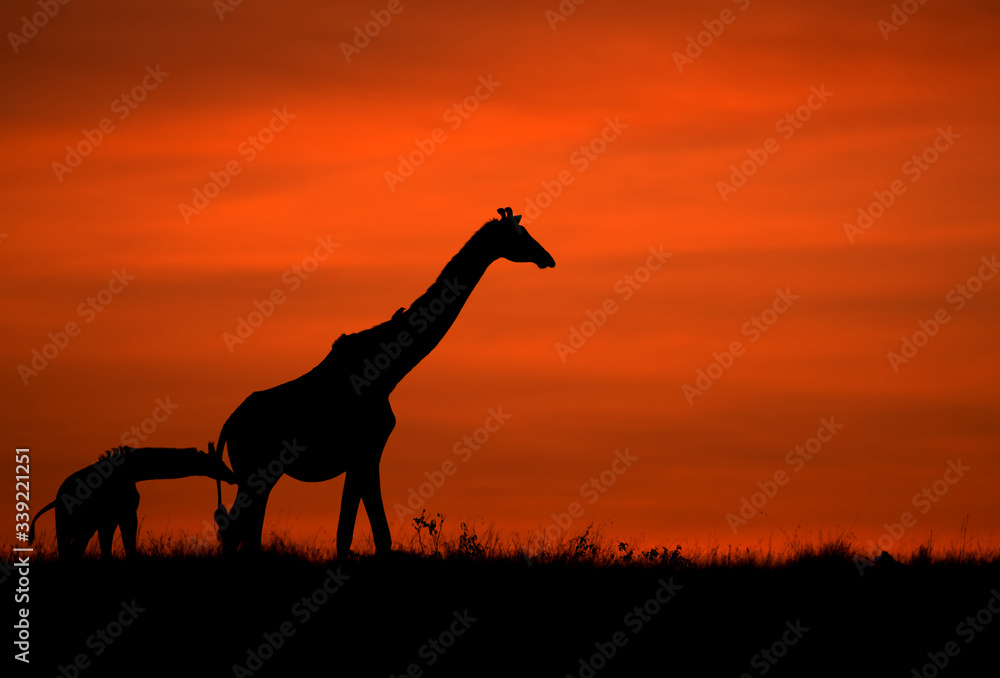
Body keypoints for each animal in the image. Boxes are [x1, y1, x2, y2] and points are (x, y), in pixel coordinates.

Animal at [30, 444, 236, 559]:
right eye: (218, 462)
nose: (232, 476)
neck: (133, 472)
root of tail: (56, 499)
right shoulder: (125, 515)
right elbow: (128, 547)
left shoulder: (111, 519)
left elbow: (110, 549)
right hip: (70, 526)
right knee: (68, 552)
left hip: (79, 527)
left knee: (73, 551)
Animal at [215, 207, 555, 556]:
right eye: (520, 234)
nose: (548, 258)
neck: (388, 371)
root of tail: (228, 426)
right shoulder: (364, 451)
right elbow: (360, 534)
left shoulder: (366, 455)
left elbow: (367, 535)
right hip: (256, 472)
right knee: (238, 533)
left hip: (257, 475)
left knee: (241, 534)